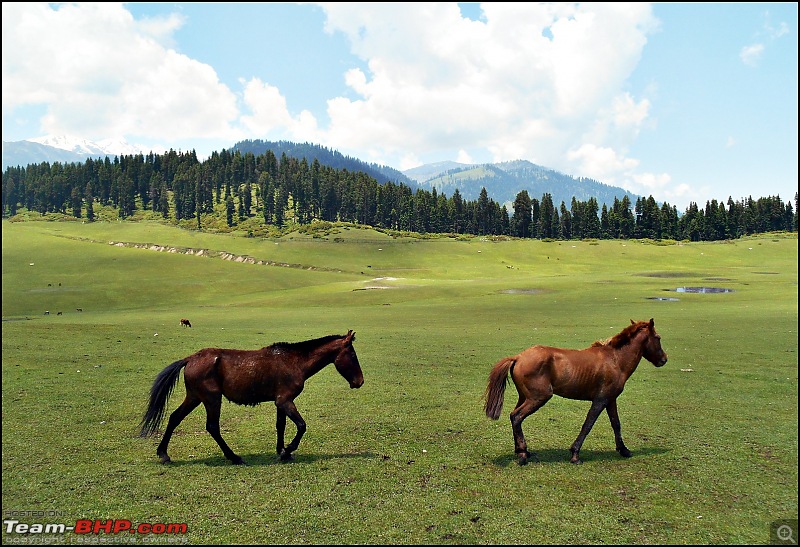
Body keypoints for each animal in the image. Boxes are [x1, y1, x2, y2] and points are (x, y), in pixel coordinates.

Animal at [139, 332, 364, 464]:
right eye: (353, 355)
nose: (360, 381)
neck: (294, 362)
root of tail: (190, 358)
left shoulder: (280, 402)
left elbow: (280, 425)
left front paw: (281, 450)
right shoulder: (285, 401)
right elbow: (301, 426)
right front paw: (287, 451)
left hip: (194, 397)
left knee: (174, 418)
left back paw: (164, 454)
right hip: (212, 399)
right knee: (212, 427)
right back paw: (234, 457)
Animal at [484, 318, 664, 464]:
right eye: (658, 338)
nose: (664, 359)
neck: (615, 360)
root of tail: (519, 357)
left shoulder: (611, 399)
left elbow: (616, 424)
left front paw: (624, 450)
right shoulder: (600, 400)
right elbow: (588, 425)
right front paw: (575, 454)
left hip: (524, 397)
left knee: (513, 416)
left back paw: (522, 451)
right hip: (538, 398)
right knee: (517, 416)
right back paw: (522, 455)